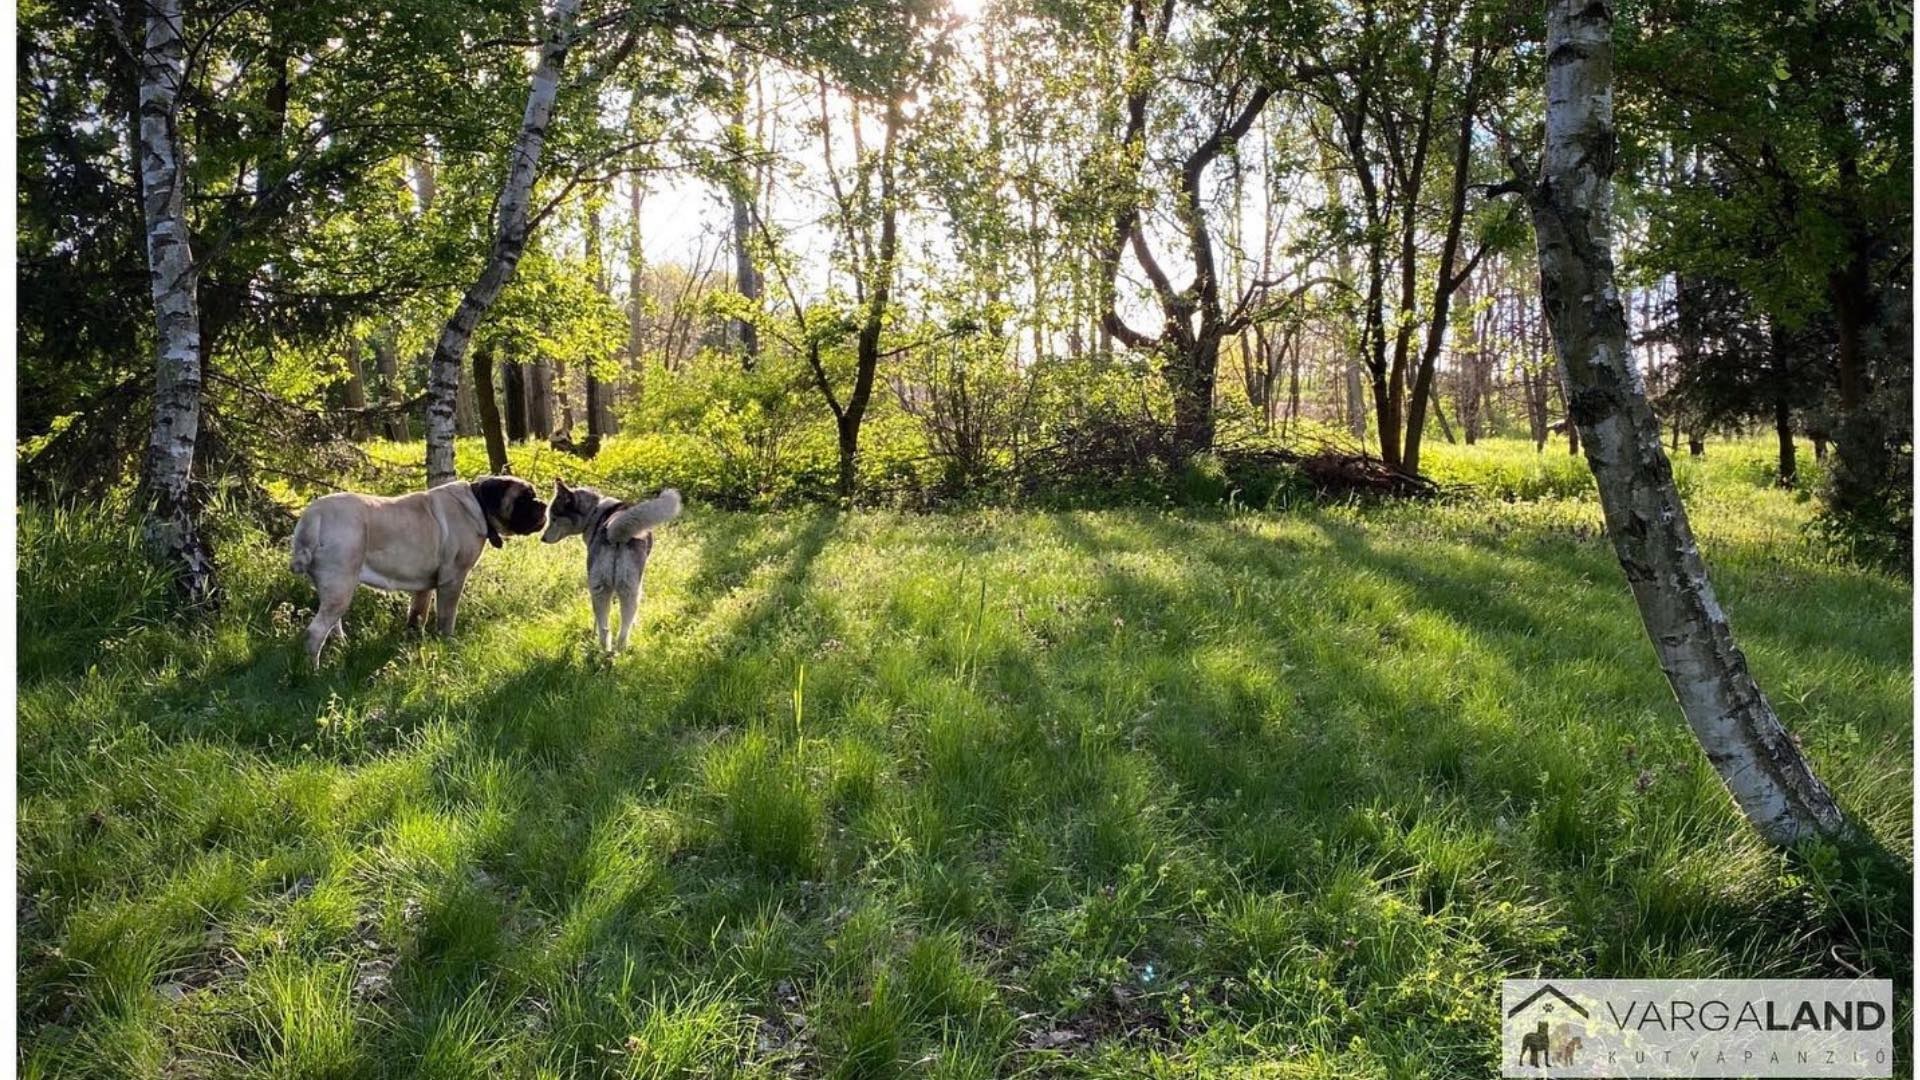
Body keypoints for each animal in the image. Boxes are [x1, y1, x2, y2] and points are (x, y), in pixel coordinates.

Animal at [291, 474, 549, 661]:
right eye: (524, 499)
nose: (543, 504)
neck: (478, 505)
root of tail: (312, 516)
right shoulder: (453, 580)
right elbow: (446, 617)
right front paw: (448, 643)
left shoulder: (424, 586)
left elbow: (417, 615)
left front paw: (414, 641)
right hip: (340, 585)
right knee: (315, 632)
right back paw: (312, 672)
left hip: (333, 589)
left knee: (333, 625)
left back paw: (341, 650)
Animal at [541, 478, 683, 645]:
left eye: (553, 518)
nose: (542, 538)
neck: (595, 512)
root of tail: (615, 535)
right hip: (630, 591)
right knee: (621, 633)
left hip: (604, 589)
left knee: (605, 630)